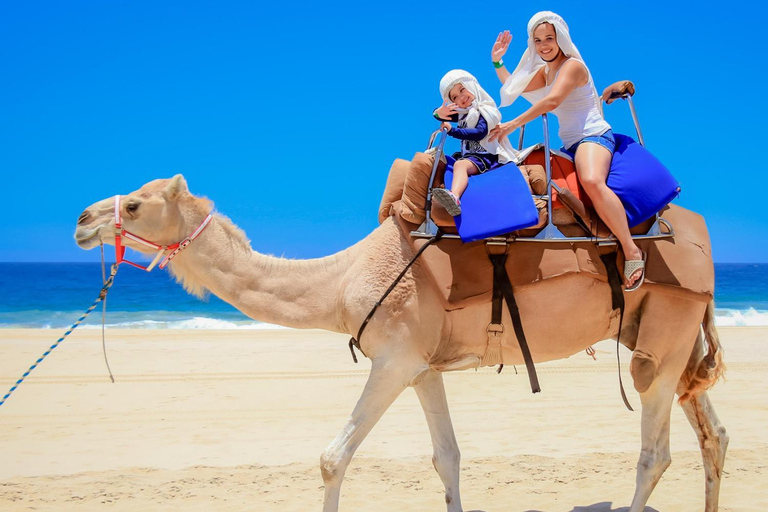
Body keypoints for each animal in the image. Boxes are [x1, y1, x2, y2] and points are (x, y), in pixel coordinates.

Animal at [75, 174, 728, 510]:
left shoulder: (393, 357)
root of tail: (700, 243)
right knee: (712, 435)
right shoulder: (422, 367)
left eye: (135, 203)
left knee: (654, 450)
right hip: (670, 334)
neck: (341, 280)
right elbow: (448, 459)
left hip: (663, 330)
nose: (82, 221)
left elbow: (332, 457)